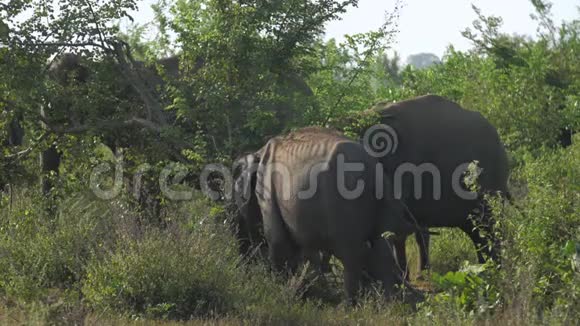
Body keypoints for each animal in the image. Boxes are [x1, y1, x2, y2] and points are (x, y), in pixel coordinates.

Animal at [242, 126, 410, 300]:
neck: (258, 153)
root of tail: (373, 169)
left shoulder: (268, 190)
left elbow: (277, 241)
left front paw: (280, 293)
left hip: (345, 200)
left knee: (352, 253)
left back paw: (348, 303)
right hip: (382, 199)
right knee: (381, 248)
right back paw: (388, 302)